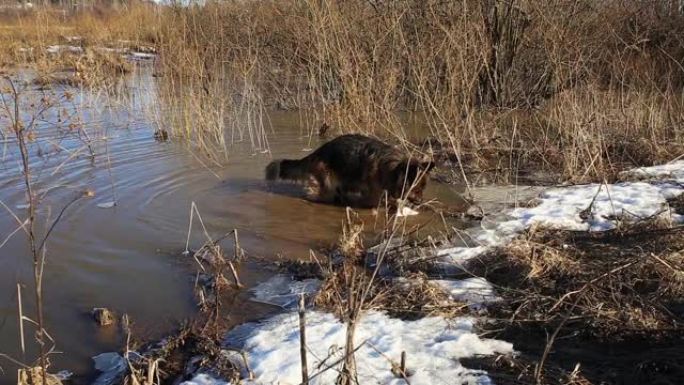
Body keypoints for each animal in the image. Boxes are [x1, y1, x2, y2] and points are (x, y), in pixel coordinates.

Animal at [264, 134, 436, 207]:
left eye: (423, 189)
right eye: (416, 189)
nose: (420, 201)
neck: (393, 167)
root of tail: (319, 151)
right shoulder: (374, 193)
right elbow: (374, 200)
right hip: (328, 179)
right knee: (322, 193)